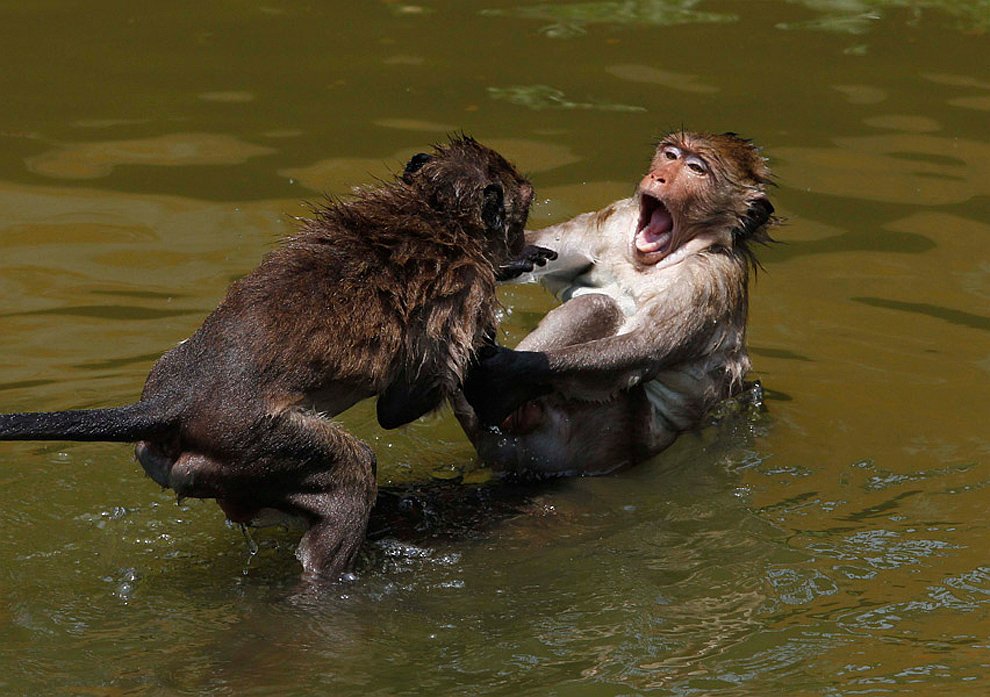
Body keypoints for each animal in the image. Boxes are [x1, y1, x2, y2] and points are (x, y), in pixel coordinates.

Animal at [0, 136, 552, 580]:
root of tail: (170, 402)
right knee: (349, 477)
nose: (525, 238)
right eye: (520, 210)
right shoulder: (463, 294)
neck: (432, 211)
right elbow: (399, 407)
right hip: (258, 444)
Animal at [458, 130, 776, 476]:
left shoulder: (708, 279)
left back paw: (503, 405)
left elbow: (645, 348)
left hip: (599, 436)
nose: (659, 177)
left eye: (696, 168)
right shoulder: (614, 220)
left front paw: (506, 375)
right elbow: (538, 244)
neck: (652, 263)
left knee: (598, 306)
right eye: (671, 155)